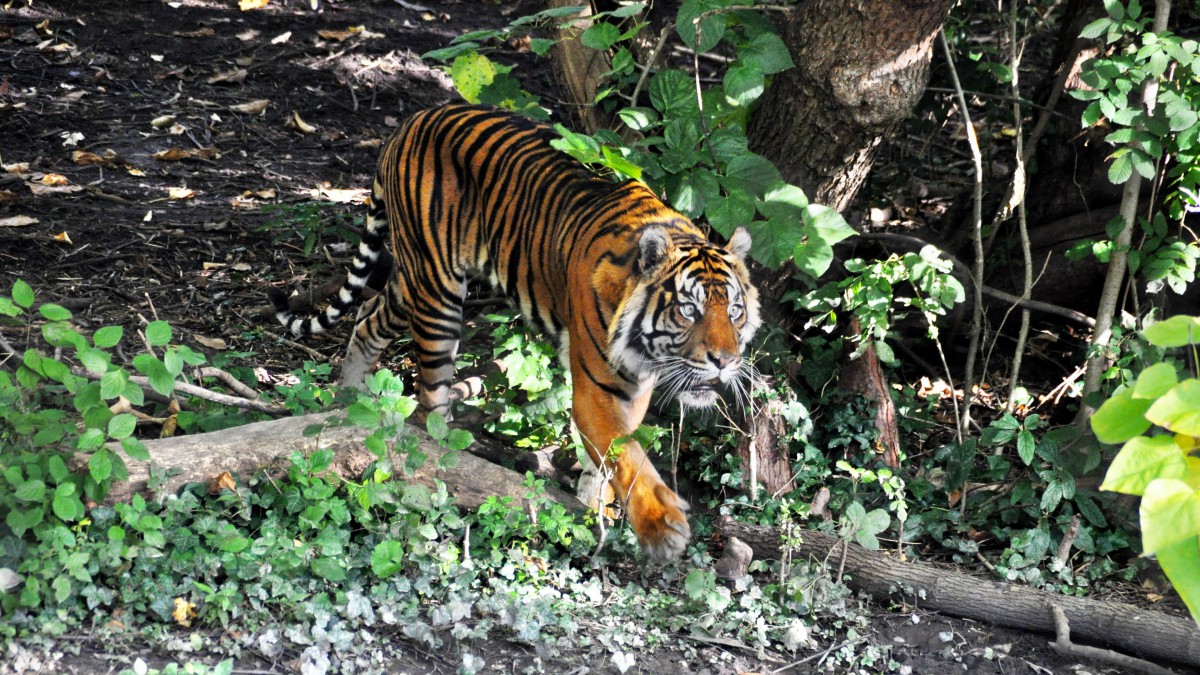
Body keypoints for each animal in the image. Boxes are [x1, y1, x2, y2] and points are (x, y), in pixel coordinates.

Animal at [271, 103, 758, 557]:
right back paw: (447, 464)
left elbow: (611, 457)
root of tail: (411, 120)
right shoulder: (596, 387)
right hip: (436, 289)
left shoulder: (632, 386)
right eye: (689, 310)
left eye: (734, 311)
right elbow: (624, 452)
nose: (725, 361)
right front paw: (660, 524)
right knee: (431, 402)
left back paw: (348, 397)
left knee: (369, 315)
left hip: (409, 283)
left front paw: (593, 505)